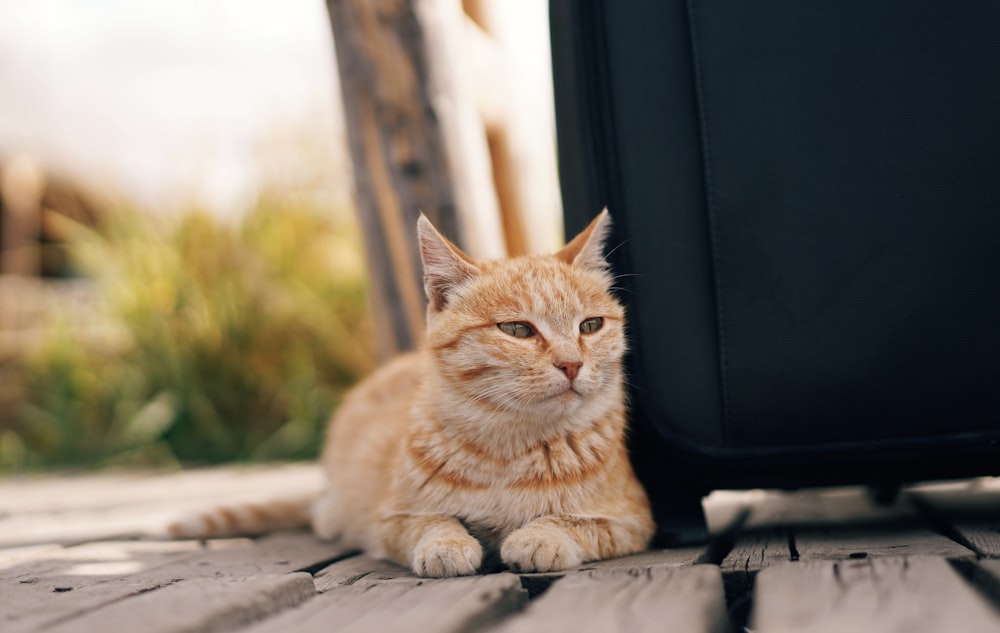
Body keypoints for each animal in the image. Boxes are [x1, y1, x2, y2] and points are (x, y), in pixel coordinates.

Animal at [168, 210, 652, 576]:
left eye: (591, 325)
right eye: (517, 330)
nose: (572, 364)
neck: (509, 446)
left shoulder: (634, 519)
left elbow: (575, 522)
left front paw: (538, 537)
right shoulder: (390, 519)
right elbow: (432, 522)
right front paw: (447, 545)